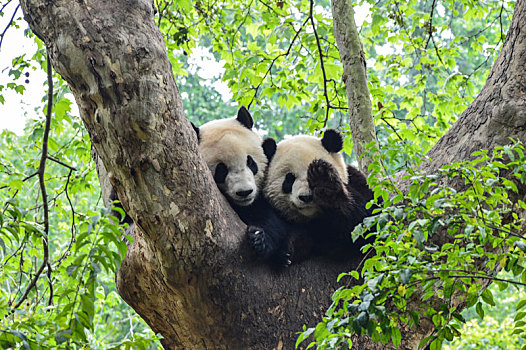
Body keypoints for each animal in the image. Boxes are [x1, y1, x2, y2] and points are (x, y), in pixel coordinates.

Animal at [262, 130, 378, 262]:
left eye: (309, 176)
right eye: (289, 179)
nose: (306, 197)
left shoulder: (356, 181)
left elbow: (366, 222)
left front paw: (324, 181)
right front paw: (286, 250)